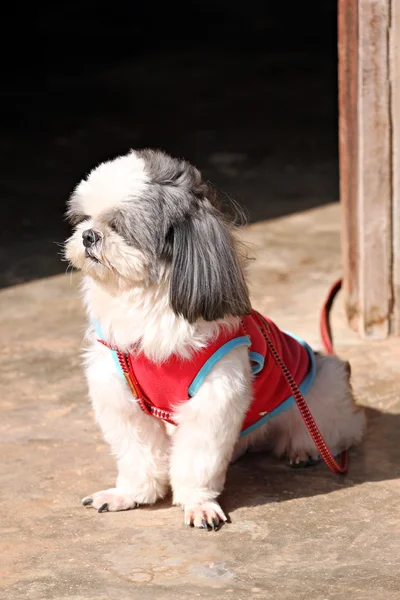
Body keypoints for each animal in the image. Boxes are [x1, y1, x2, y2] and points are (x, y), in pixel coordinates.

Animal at [65, 149, 366, 528]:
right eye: (82, 219)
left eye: (120, 227)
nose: (89, 235)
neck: (145, 305)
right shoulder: (120, 393)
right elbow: (138, 456)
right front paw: (129, 495)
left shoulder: (214, 399)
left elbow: (197, 461)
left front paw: (198, 504)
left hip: (322, 386)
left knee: (335, 429)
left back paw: (303, 449)